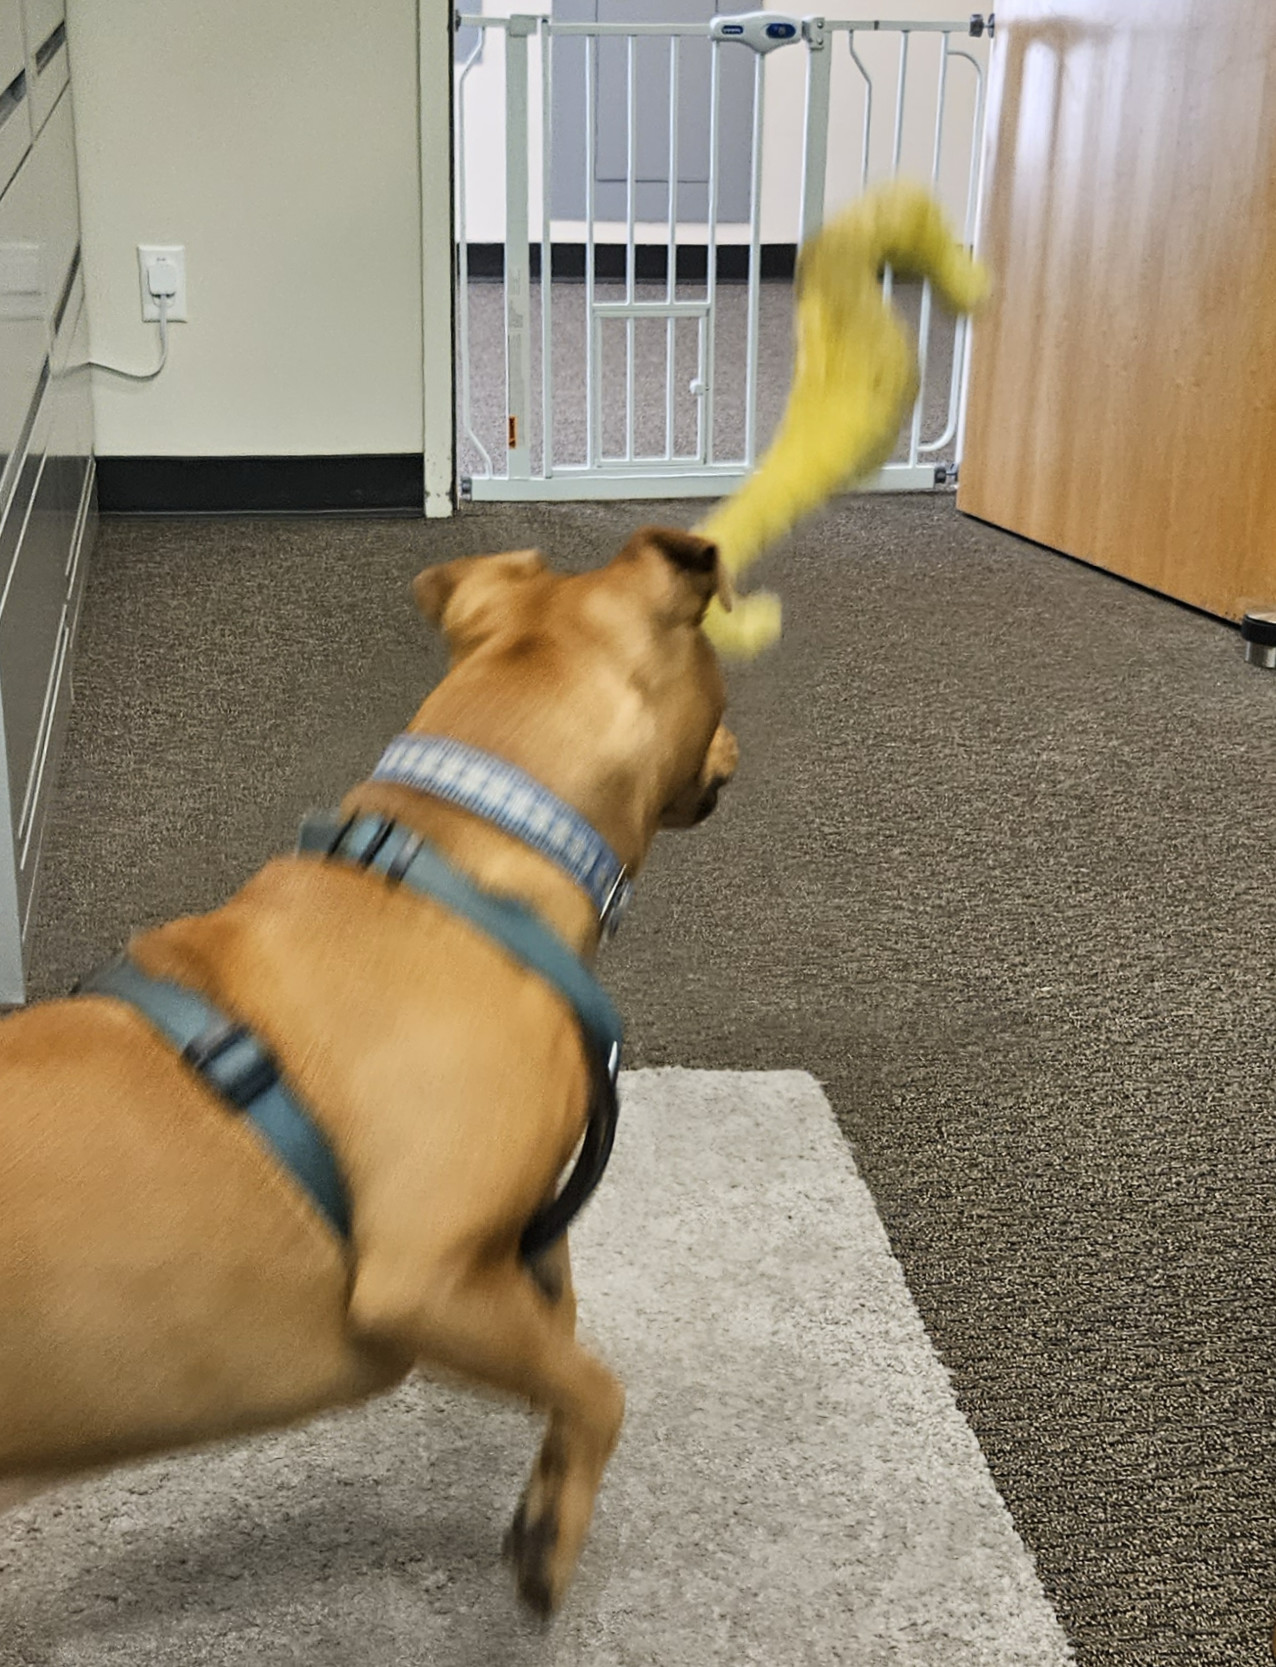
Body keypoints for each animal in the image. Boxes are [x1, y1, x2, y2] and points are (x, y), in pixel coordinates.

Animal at [0, 523, 737, 1613]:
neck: (464, 846)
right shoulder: (421, 1280)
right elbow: (598, 1386)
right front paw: (553, 1529)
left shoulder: (506, 1257)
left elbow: (563, 1344)